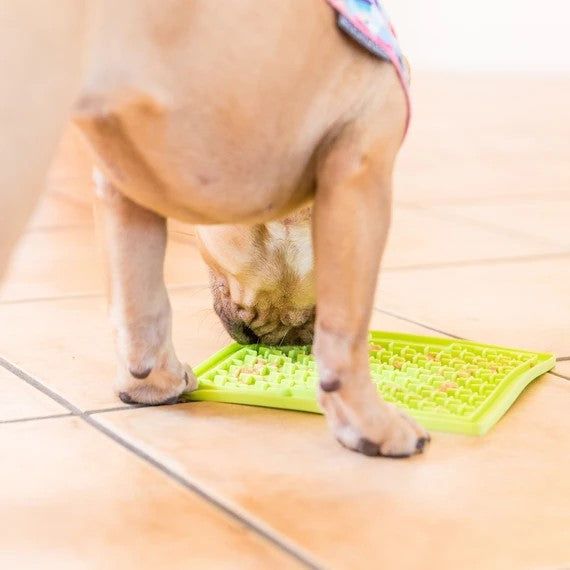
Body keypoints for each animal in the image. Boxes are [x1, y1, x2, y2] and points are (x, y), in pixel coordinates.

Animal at [70, 0, 426, 454]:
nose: (281, 339)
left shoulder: (120, 180)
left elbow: (138, 304)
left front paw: (153, 384)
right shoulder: (362, 166)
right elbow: (346, 332)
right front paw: (372, 423)